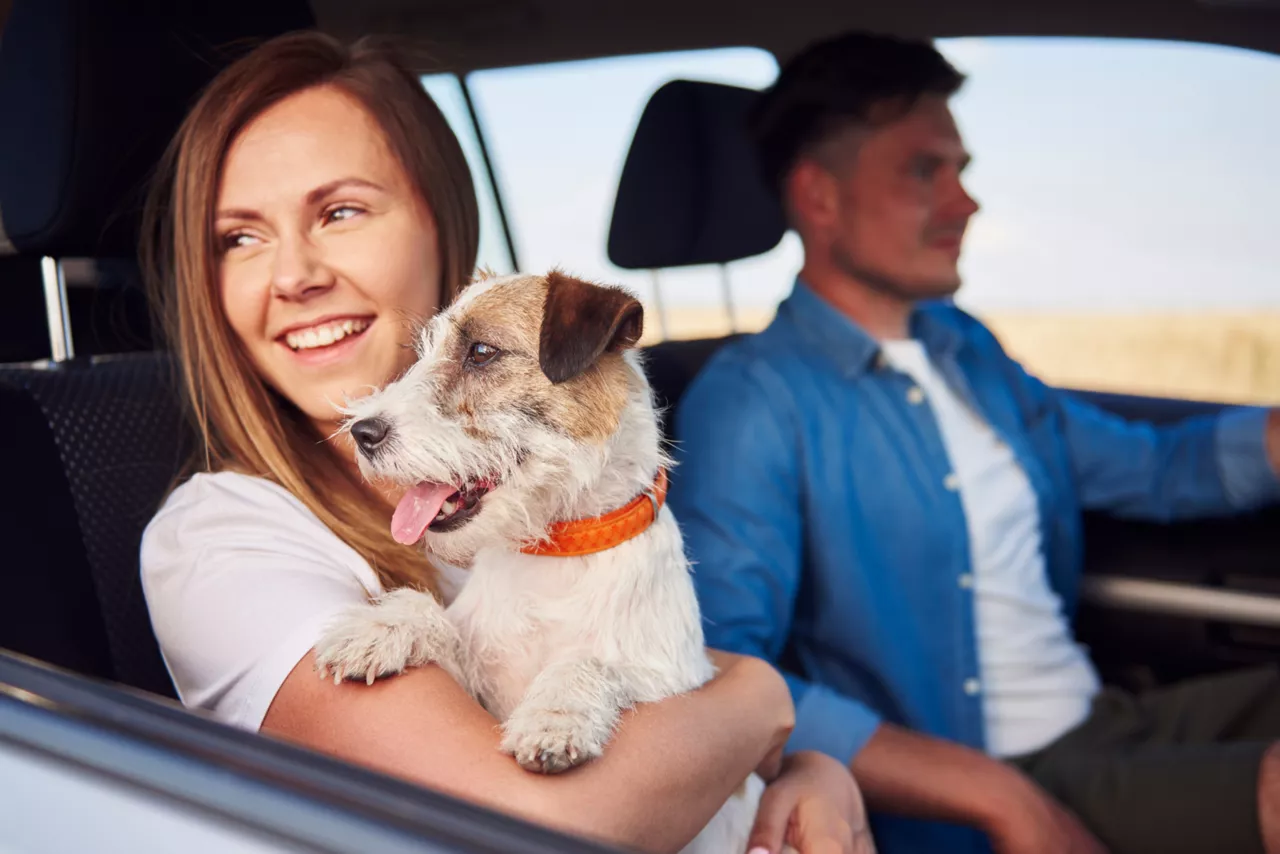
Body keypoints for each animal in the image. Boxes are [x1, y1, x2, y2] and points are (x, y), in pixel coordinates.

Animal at [312, 270, 768, 850]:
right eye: (423, 352)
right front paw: (379, 628)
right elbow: (437, 619)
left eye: (481, 352)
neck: (556, 553)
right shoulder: (482, 683)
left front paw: (555, 718)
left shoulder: (675, 681)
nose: (361, 433)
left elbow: (591, 661)